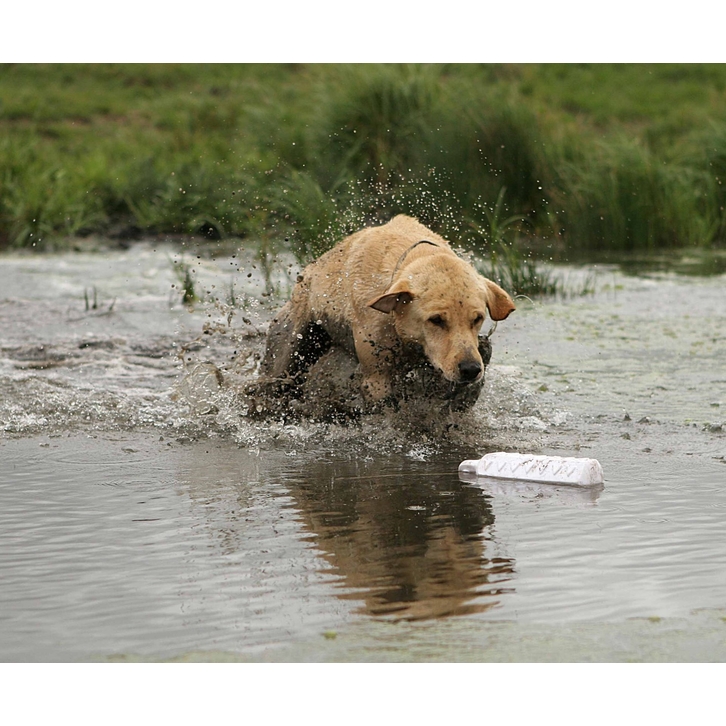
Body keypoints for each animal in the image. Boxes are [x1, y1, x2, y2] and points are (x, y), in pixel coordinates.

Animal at [258, 215, 516, 410]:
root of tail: (306, 275)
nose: (470, 369)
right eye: (436, 320)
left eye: (478, 318)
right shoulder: (375, 378)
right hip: (286, 346)